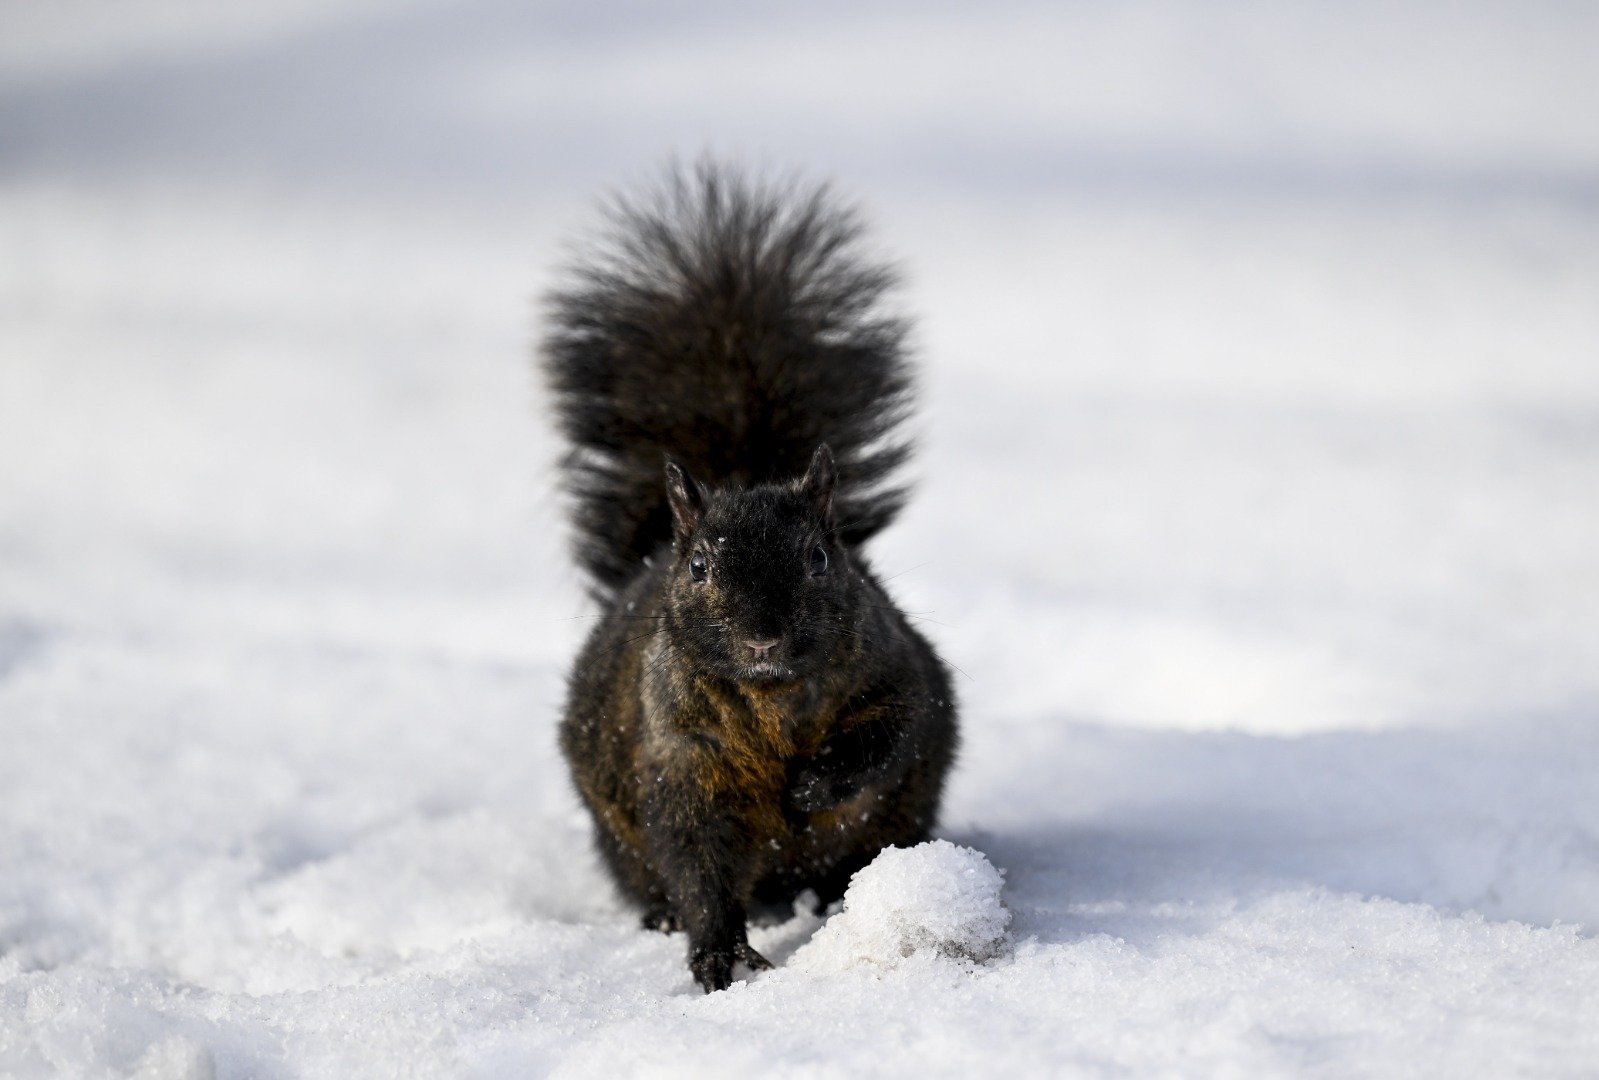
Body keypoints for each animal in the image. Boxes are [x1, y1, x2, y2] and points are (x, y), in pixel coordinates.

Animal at [537, 162, 959, 998]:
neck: (772, 701)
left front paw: (810, 788)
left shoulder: (892, 672)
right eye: (699, 567)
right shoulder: (680, 750)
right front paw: (717, 951)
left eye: (820, 559)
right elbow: (698, 857)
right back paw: (663, 916)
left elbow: (887, 734)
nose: (763, 638)